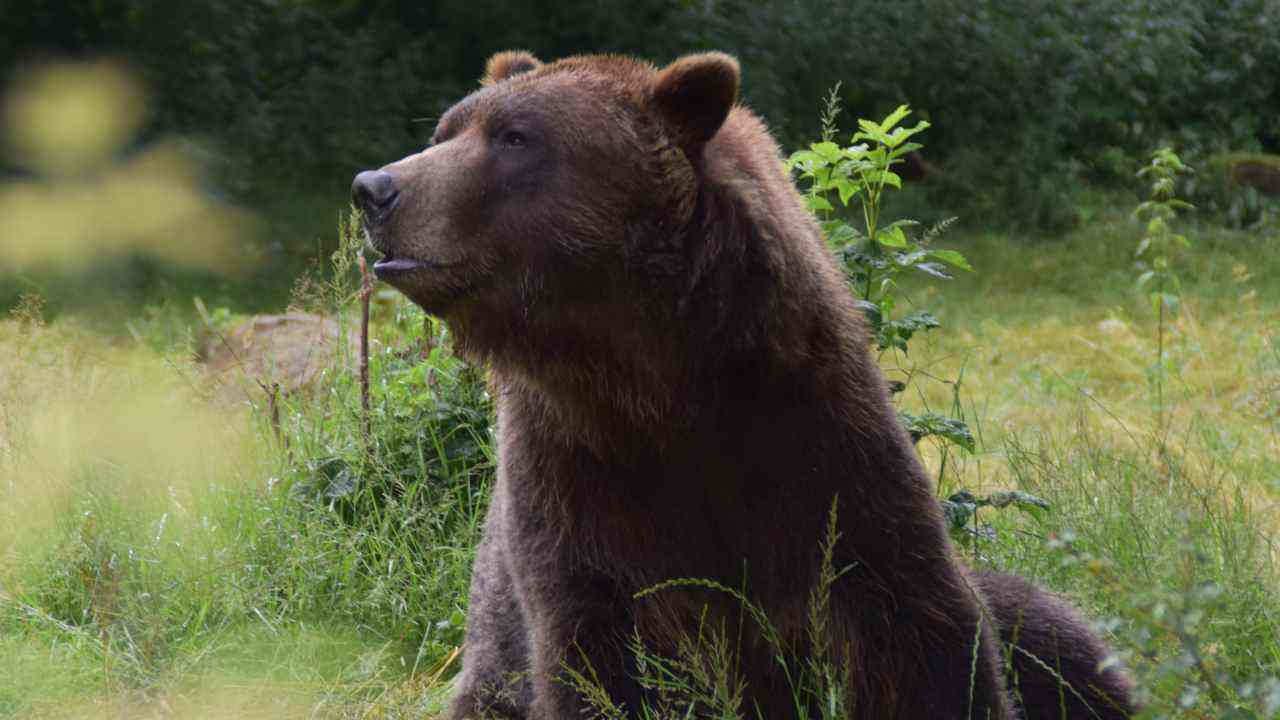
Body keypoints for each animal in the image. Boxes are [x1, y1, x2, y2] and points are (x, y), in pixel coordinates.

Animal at [350, 51, 1131, 717]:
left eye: (514, 136)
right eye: (448, 129)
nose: (375, 189)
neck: (651, 381)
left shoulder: (817, 434)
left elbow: (921, 628)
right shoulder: (574, 480)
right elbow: (599, 657)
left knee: (1061, 639)